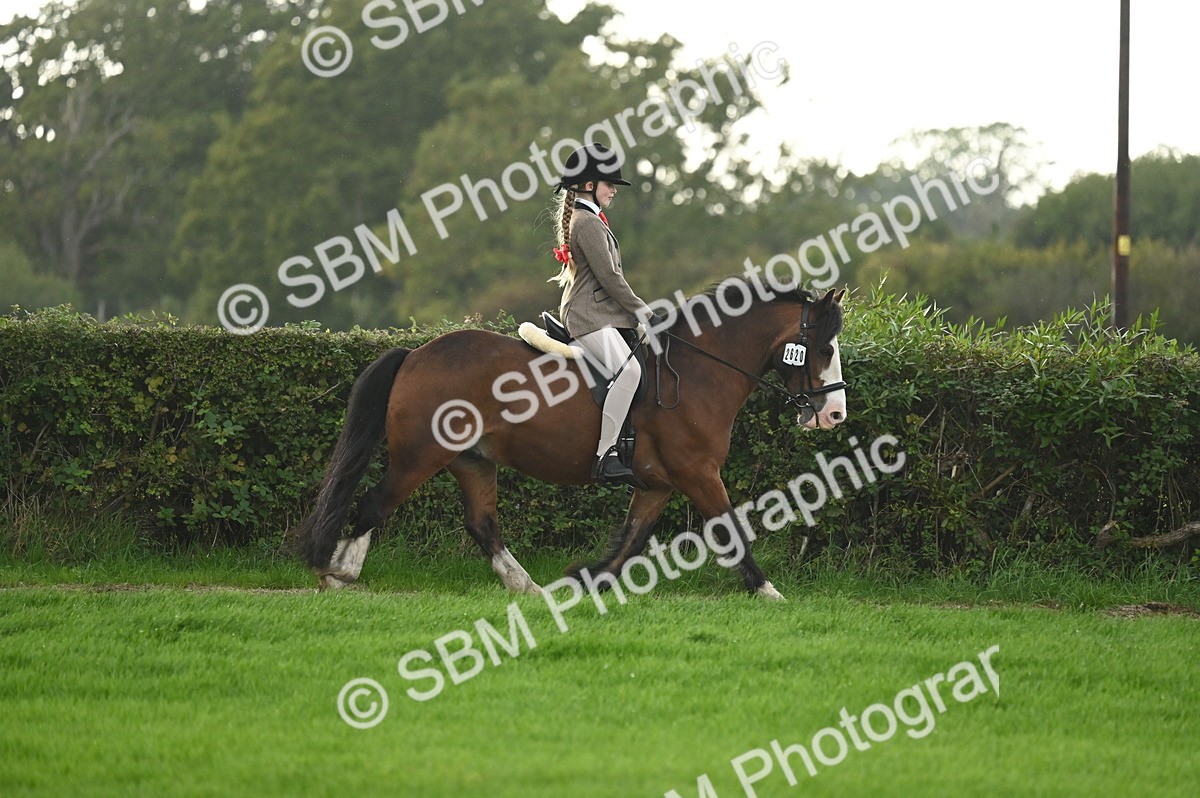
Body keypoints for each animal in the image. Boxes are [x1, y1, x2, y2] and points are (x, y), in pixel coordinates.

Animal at [294, 282, 847, 599]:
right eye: (823, 348)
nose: (835, 413)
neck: (699, 371)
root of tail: (415, 354)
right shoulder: (697, 474)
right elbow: (731, 529)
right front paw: (769, 591)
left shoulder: (658, 484)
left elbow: (631, 541)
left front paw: (586, 579)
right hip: (419, 457)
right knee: (374, 503)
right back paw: (338, 573)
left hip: (473, 461)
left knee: (482, 524)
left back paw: (527, 586)